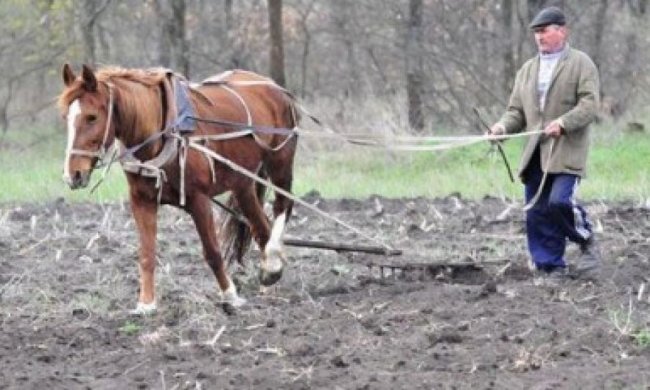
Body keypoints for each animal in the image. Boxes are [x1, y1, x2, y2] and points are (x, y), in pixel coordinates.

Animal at [58, 63, 296, 314]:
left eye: (92, 117)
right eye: (66, 117)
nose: (72, 175)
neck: (161, 134)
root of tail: (274, 86)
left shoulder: (199, 199)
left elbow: (212, 251)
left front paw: (230, 295)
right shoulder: (142, 200)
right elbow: (146, 254)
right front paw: (146, 303)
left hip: (280, 161)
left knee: (283, 205)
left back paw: (272, 264)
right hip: (243, 182)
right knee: (261, 228)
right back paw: (270, 277)